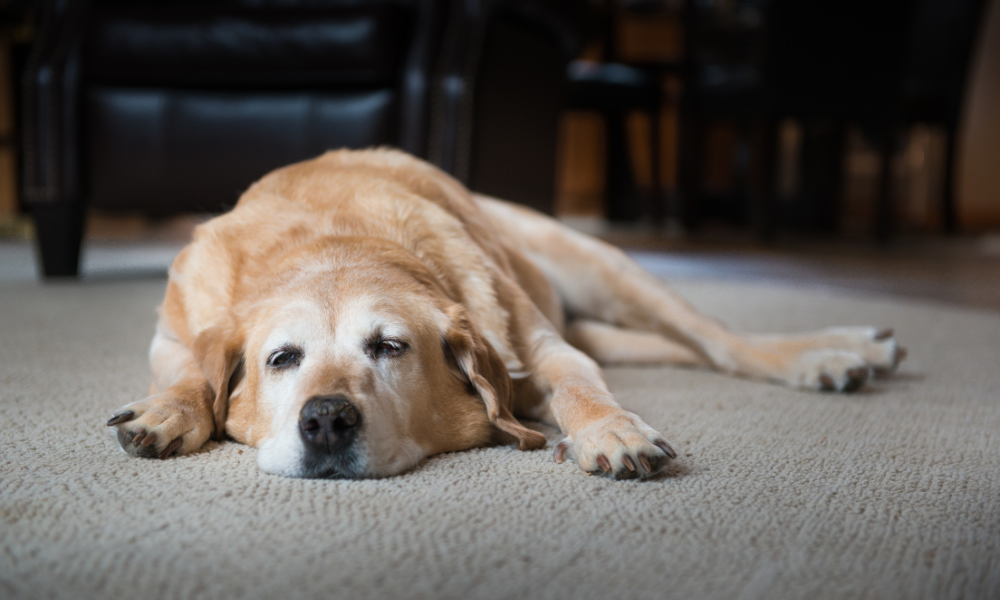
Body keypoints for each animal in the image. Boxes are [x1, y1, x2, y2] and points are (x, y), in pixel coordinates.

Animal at [107, 148, 908, 480]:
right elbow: (190, 373)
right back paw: (856, 350)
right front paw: (168, 412)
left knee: (719, 342)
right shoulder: (170, 334)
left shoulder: (544, 349)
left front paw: (610, 431)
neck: (334, 240)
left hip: (603, 268)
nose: (327, 419)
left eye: (389, 347)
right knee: (678, 350)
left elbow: (579, 386)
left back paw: (829, 353)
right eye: (282, 359)